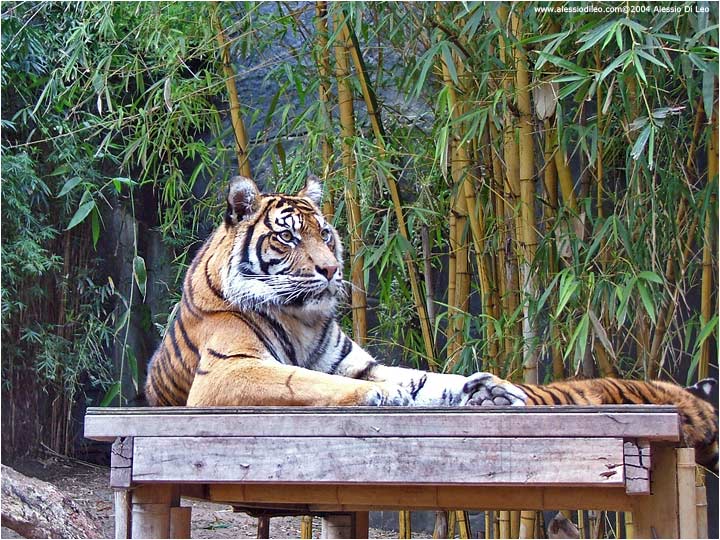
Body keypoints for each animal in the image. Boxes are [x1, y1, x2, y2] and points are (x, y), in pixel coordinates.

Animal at [145, 175, 718, 473]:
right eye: (287, 237)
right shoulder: (228, 373)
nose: (330, 270)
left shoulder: (358, 363)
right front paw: (387, 399)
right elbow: (306, 382)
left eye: (325, 234)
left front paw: (490, 390)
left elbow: (428, 379)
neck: (301, 315)